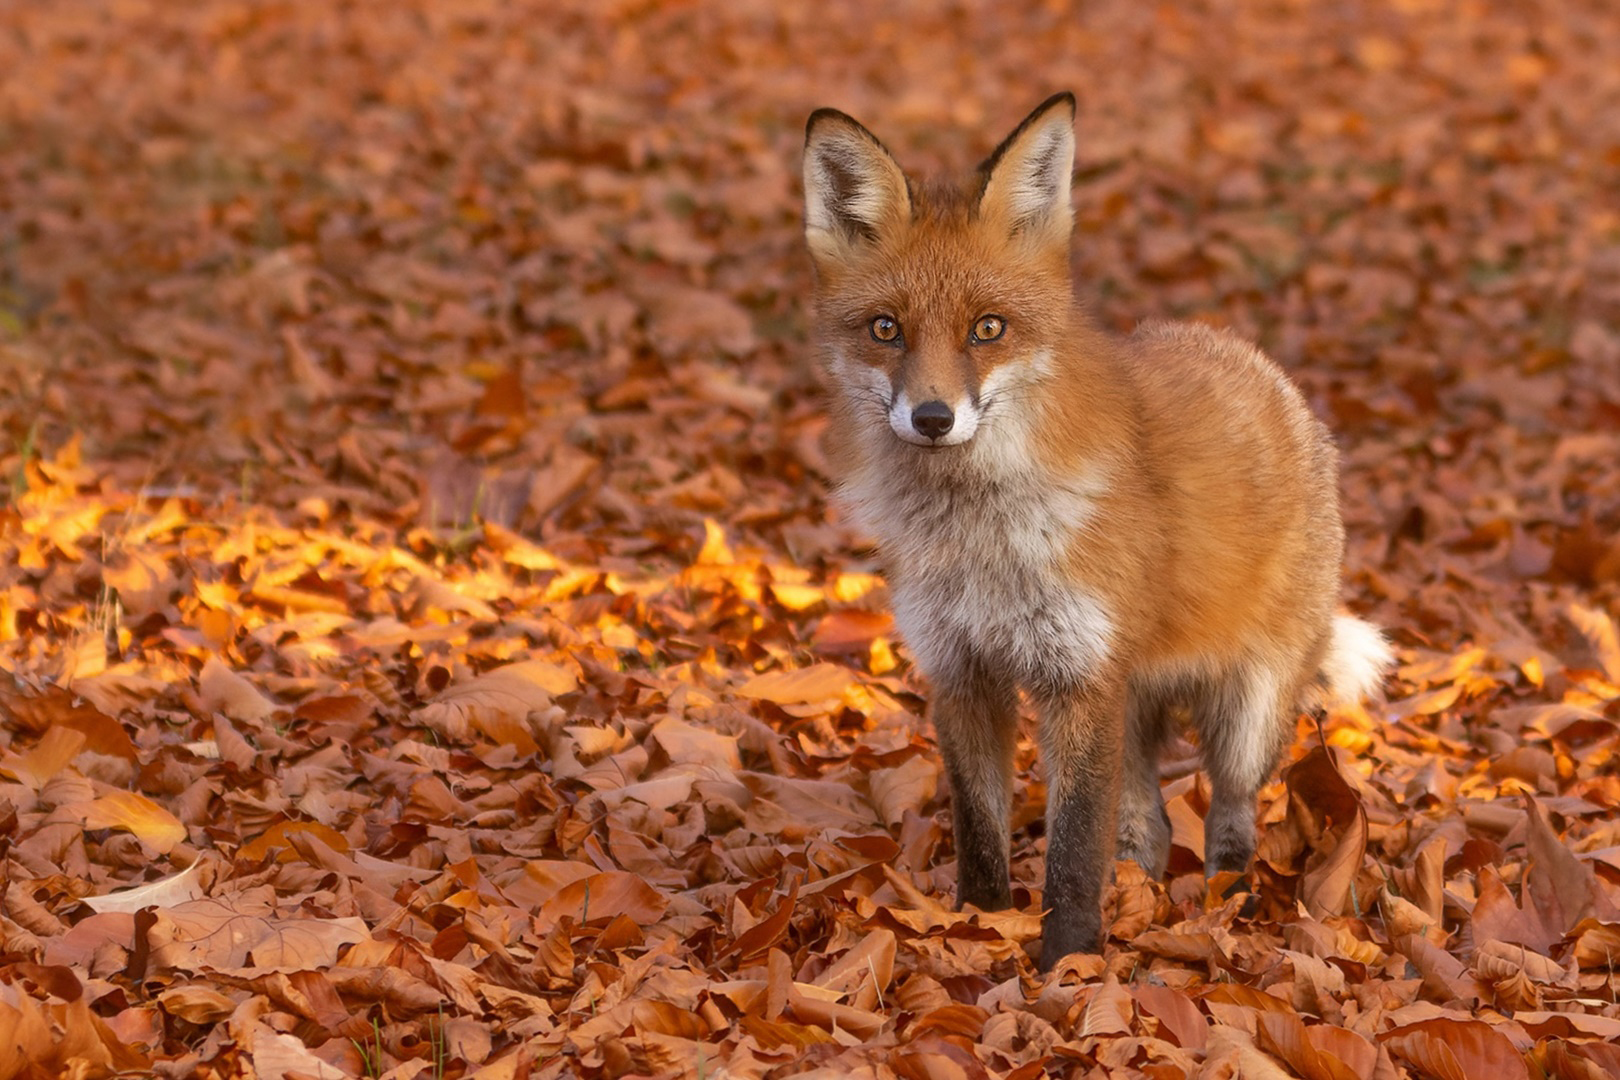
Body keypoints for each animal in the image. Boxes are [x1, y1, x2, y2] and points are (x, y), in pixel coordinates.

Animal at [800, 95, 1393, 971]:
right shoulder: (962, 670)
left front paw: (1068, 962)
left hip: (1245, 712)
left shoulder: (1079, 677)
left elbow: (1074, 849)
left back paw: (1226, 908)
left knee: (1231, 817)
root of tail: (1265, 369)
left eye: (987, 329)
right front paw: (977, 929)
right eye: (884, 329)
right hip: (1137, 708)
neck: (983, 541)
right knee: (1148, 826)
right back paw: (1143, 899)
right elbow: (982, 831)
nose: (934, 418)